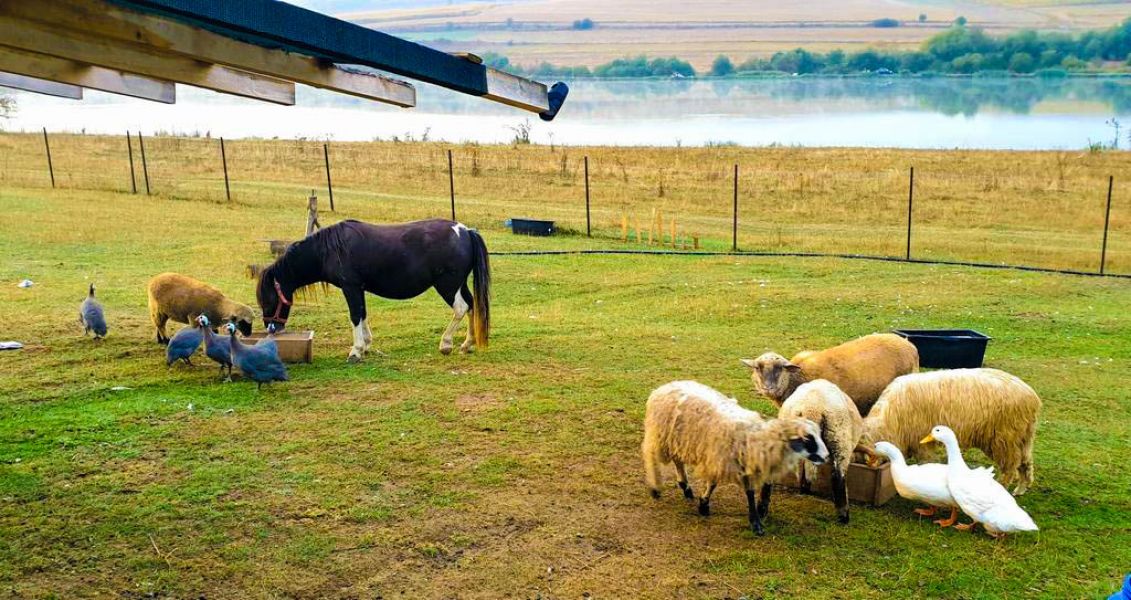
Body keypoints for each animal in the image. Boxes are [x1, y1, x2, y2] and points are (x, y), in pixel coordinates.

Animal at [260, 219, 490, 361]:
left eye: (268, 300)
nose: (272, 328)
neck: (331, 249)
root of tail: (465, 231)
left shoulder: (350, 287)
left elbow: (354, 315)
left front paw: (356, 351)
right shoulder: (359, 288)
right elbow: (362, 313)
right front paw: (366, 344)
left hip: (447, 286)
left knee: (460, 308)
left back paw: (446, 344)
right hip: (459, 284)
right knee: (471, 305)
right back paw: (467, 344)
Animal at [646, 379, 832, 535]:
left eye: (819, 434)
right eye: (807, 439)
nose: (826, 456)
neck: (757, 438)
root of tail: (663, 387)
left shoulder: (744, 465)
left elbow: (749, 491)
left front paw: (756, 518)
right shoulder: (722, 459)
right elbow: (717, 484)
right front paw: (705, 505)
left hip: (676, 440)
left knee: (678, 461)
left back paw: (685, 487)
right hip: (660, 434)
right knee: (650, 455)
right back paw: (655, 487)